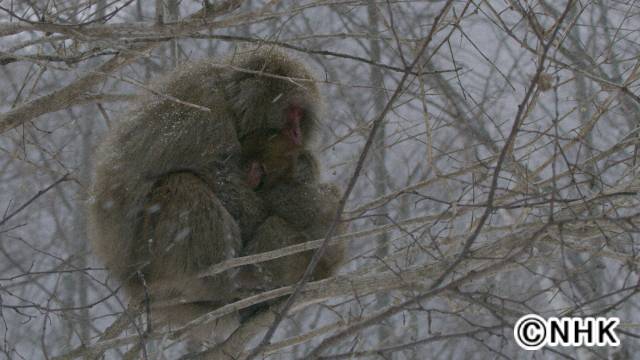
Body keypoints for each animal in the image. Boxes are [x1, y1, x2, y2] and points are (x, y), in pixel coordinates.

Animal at [89, 46, 342, 342]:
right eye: (291, 111)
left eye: (301, 115)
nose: (297, 132)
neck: (229, 96)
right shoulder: (206, 113)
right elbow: (221, 177)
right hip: (152, 264)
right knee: (183, 186)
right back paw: (228, 279)